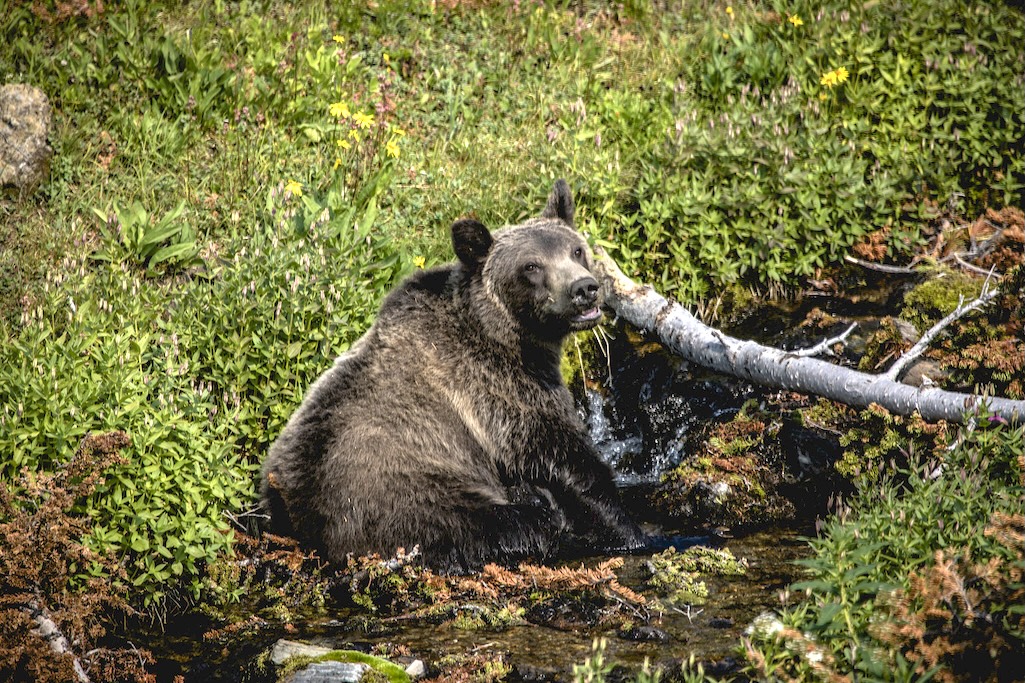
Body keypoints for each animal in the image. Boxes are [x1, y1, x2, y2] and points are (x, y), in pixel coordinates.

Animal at [260, 180, 645, 573]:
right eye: (531, 266)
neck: (511, 337)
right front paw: (628, 530)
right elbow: (562, 452)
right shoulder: (498, 388)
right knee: (504, 524)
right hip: (412, 494)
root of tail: (301, 520)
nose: (584, 289)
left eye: (576, 250)